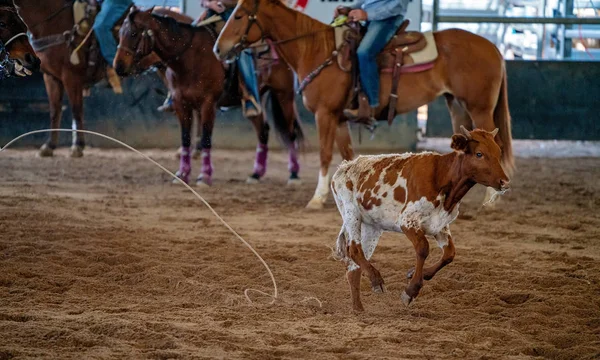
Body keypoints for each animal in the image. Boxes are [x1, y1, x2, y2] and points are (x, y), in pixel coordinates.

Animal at [14, 0, 190, 158]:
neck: (54, 22)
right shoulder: (51, 77)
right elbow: (54, 111)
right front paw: (49, 146)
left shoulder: (71, 76)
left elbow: (76, 110)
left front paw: (78, 146)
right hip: (164, 69)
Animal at [116, 7, 304, 186]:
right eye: (120, 33)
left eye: (133, 34)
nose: (118, 66)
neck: (190, 57)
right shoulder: (181, 104)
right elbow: (185, 139)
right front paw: (182, 174)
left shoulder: (207, 104)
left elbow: (206, 139)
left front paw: (204, 177)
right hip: (255, 100)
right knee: (263, 131)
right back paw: (256, 174)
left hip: (284, 95)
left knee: (290, 133)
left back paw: (294, 174)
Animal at [213, 0, 512, 210]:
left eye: (238, 15)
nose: (218, 48)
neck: (318, 50)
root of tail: (494, 48)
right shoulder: (340, 118)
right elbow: (347, 155)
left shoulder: (325, 115)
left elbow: (325, 155)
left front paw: (317, 199)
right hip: (457, 106)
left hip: (480, 108)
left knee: (492, 144)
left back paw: (491, 199)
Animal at [330, 127, 508, 312]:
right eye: (479, 153)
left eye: (498, 152)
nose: (504, 181)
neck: (442, 177)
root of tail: (344, 167)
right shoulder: (407, 221)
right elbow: (423, 248)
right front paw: (411, 290)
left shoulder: (440, 226)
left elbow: (449, 254)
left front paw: (417, 274)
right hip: (351, 214)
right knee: (354, 250)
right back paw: (376, 281)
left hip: (372, 227)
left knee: (354, 265)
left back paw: (358, 308)